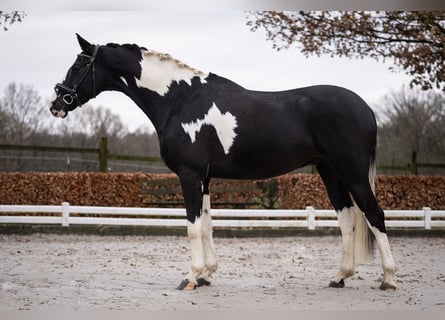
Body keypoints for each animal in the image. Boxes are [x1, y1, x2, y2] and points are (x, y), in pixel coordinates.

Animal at [50, 35, 398, 290]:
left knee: (374, 214)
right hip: (330, 172)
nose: (57, 104)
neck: (180, 100)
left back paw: (388, 279)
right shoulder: (203, 178)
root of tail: (365, 108)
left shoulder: (189, 175)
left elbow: (192, 228)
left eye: (78, 65)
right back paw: (339, 277)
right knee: (348, 218)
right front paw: (206, 274)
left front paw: (190, 278)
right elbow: (207, 226)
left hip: (352, 173)